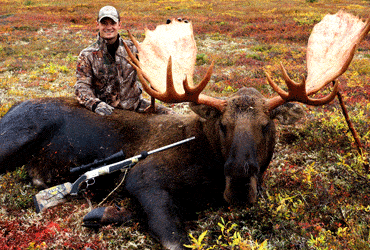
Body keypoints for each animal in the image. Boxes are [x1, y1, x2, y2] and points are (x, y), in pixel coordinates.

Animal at [0, 11, 370, 250]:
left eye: (267, 125)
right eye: (223, 125)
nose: (238, 178)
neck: (209, 166)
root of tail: (11, 108)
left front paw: (106, 214)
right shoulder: (144, 181)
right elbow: (174, 239)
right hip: (15, 139)